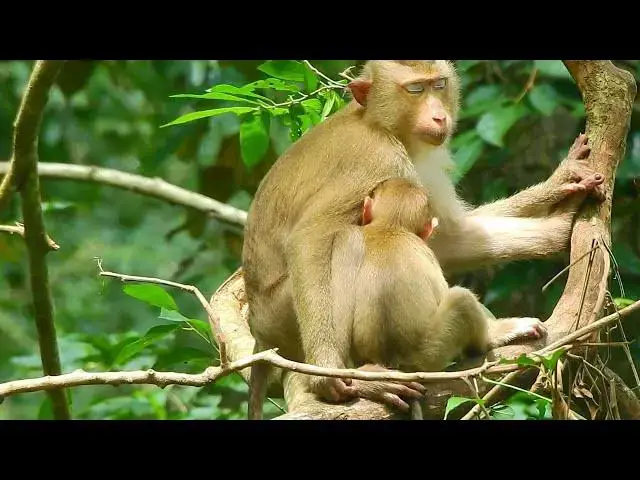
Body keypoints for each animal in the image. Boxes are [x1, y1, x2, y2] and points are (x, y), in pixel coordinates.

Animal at [242, 60, 604, 420]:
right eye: (415, 89)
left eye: (439, 85)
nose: (439, 116)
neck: (381, 125)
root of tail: (258, 330)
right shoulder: (377, 159)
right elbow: (309, 238)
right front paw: (328, 375)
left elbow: (450, 238)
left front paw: (559, 204)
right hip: (282, 315)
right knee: (344, 239)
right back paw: (364, 378)